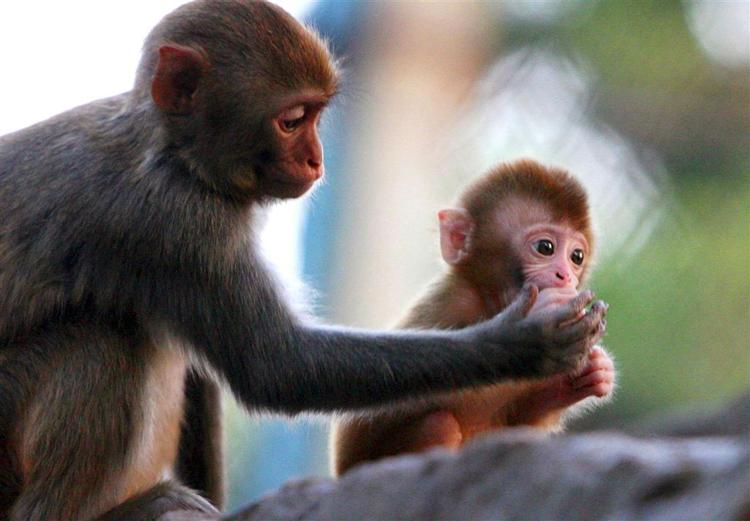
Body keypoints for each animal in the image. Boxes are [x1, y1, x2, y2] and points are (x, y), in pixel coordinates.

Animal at [331, 159, 616, 476]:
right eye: (546, 248)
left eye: (576, 256)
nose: (565, 275)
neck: (489, 304)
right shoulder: (449, 306)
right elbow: (365, 422)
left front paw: (592, 373)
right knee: (437, 423)